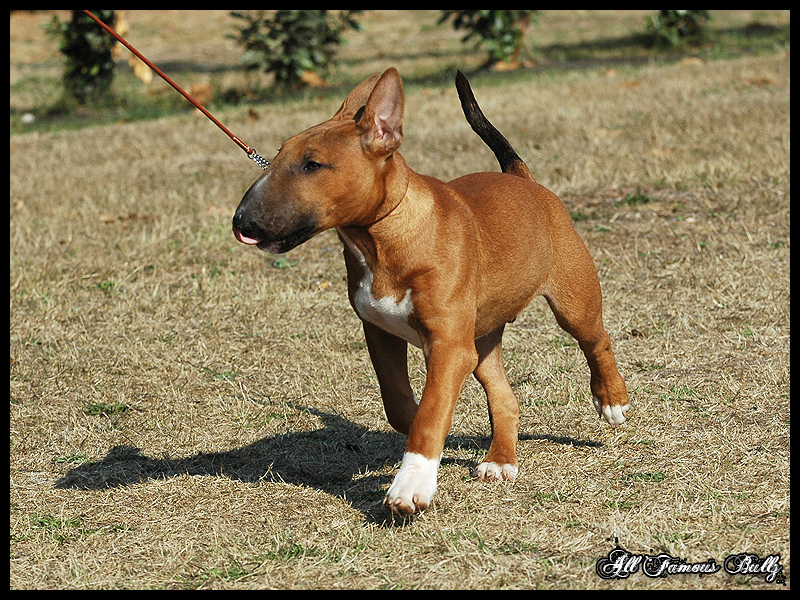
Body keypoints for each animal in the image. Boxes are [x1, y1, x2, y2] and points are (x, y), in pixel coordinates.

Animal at [231, 67, 632, 516]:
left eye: (312, 164)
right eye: (278, 155)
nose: (241, 222)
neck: (383, 238)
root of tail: (523, 179)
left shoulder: (448, 345)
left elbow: (428, 415)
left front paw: (411, 484)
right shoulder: (384, 334)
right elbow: (404, 406)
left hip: (573, 299)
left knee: (597, 340)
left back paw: (612, 399)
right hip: (481, 339)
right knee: (504, 396)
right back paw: (500, 461)